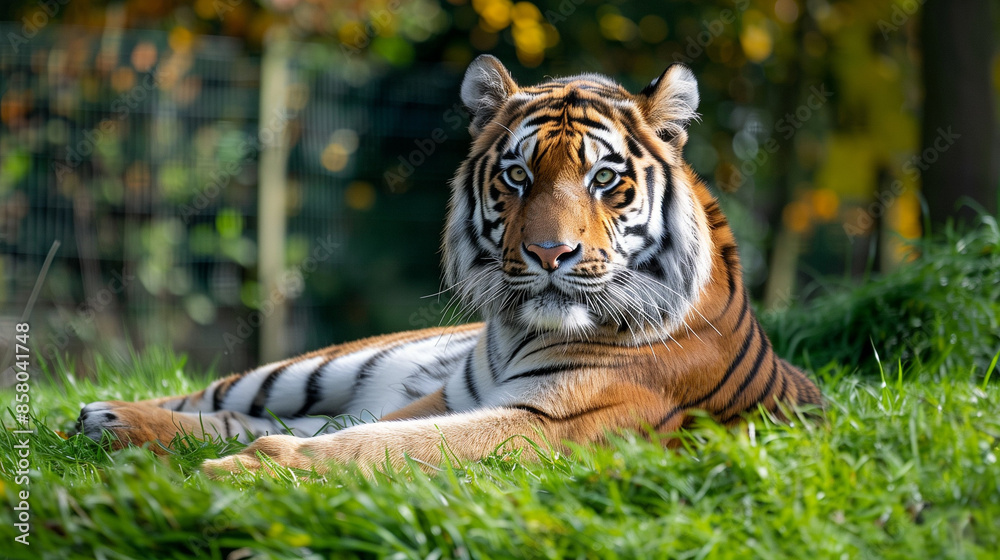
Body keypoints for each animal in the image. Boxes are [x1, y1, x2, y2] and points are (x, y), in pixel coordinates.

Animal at [77, 55, 822, 477]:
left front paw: (244, 472)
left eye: (605, 179)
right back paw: (107, 416)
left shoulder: (549, 425)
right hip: (315, 369)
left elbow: (366, 444)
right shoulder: (447, 400)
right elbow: (362, 434)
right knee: (214, 398)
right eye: (518, 175)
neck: (515, 331)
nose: (550, 254)